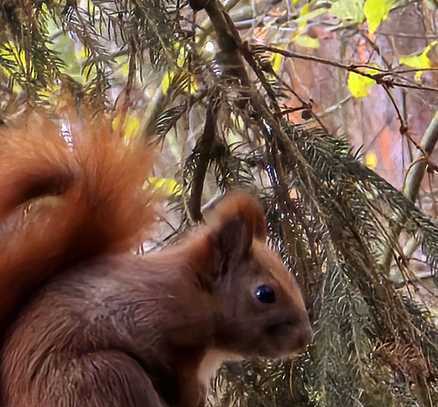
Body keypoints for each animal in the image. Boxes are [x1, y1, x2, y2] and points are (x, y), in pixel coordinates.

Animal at [0, 108, 312, 407]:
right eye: (265, 293)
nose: (306, 338)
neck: (194, 289)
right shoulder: (143, 315)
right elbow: (164, 363)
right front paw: (189, 396)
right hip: (105, 376)